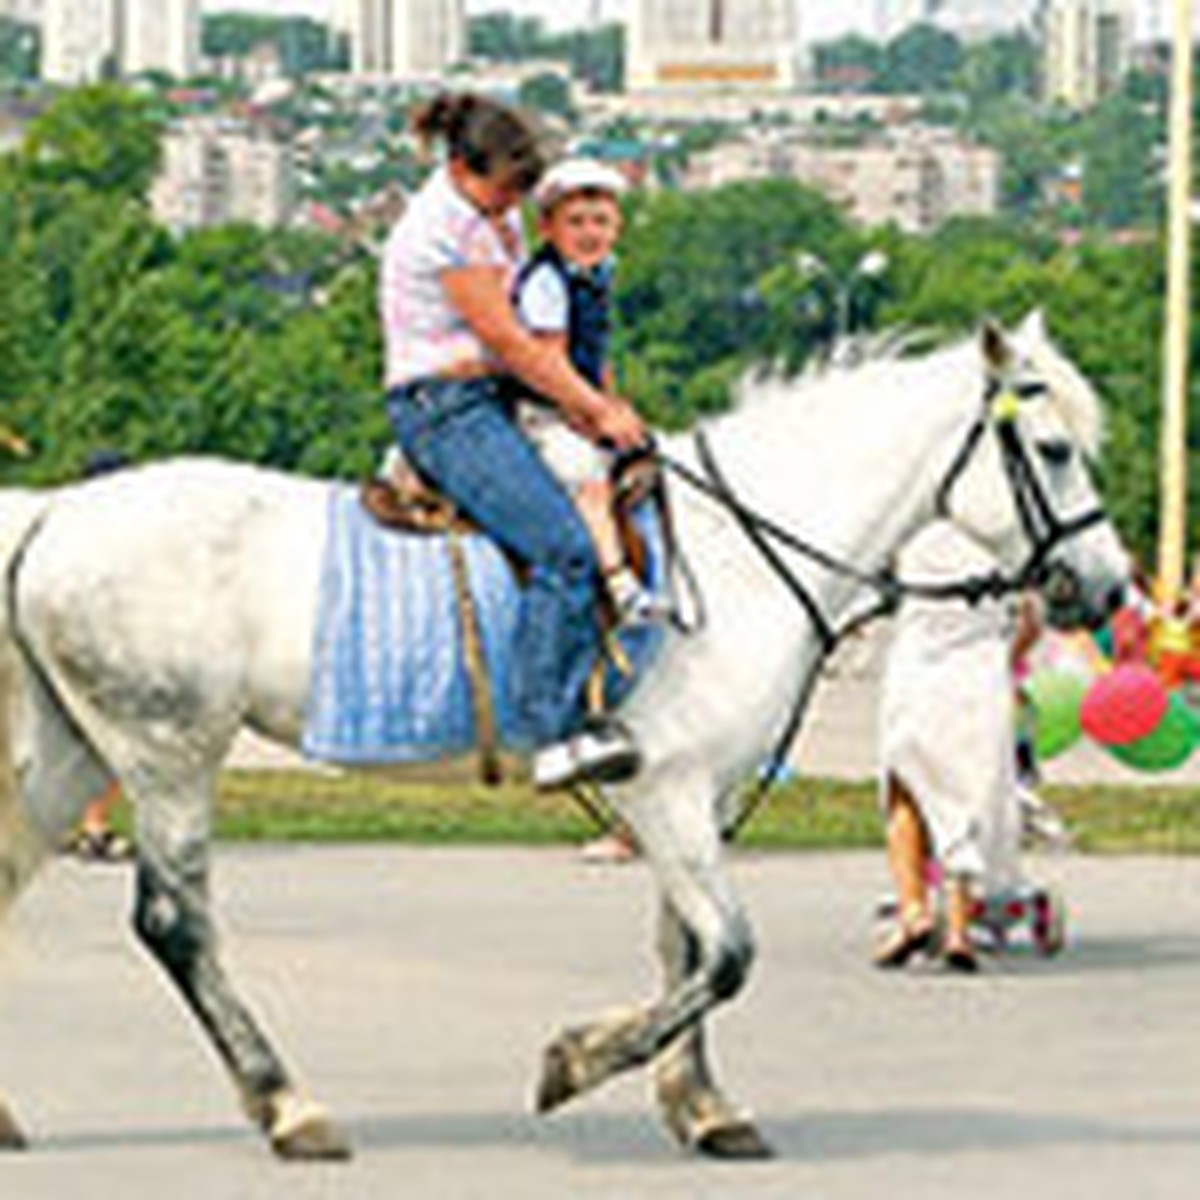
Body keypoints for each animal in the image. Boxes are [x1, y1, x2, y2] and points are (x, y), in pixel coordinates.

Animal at [0, 314, 1128, 1156]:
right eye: (1055, 451)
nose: (1111, 587)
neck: (737, 549)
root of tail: (57, 510)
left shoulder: (695, 796)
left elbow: (685, 950)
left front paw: (702, 1108)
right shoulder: (665, 791)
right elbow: (728, 953)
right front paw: (576, 1062)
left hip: (75, 755)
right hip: (166, 752)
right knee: (176, 925)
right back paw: (288, 1107)